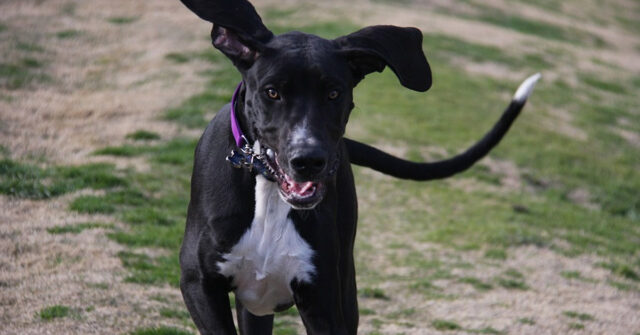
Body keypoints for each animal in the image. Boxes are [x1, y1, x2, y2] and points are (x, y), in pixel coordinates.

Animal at [176, 1, 540, 334]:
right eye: (272, 92)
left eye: (334, 93)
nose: (309, 160)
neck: (268, 195)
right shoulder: (199, 285)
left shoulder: (324, 299)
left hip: (342, 287)